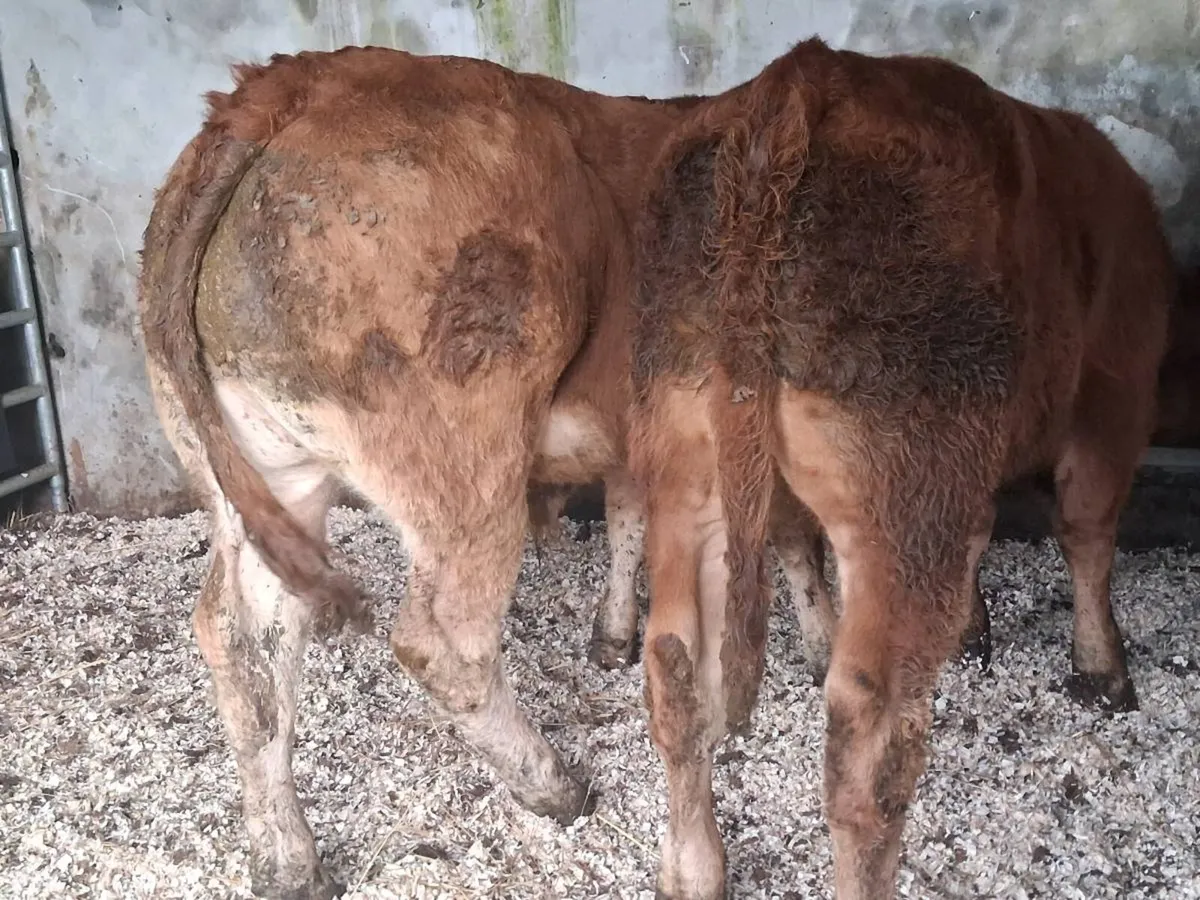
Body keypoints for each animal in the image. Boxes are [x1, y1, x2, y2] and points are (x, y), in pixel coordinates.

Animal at [629, 36, 1177, 900]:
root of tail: (797, 84)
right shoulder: (1114, 393)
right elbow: (1087, 532)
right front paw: (1104, 670)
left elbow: (991, 531)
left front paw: (979, 628)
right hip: (900, 504)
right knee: (866, 746)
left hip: (688, 466)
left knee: (676, 666)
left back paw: (694, 869)